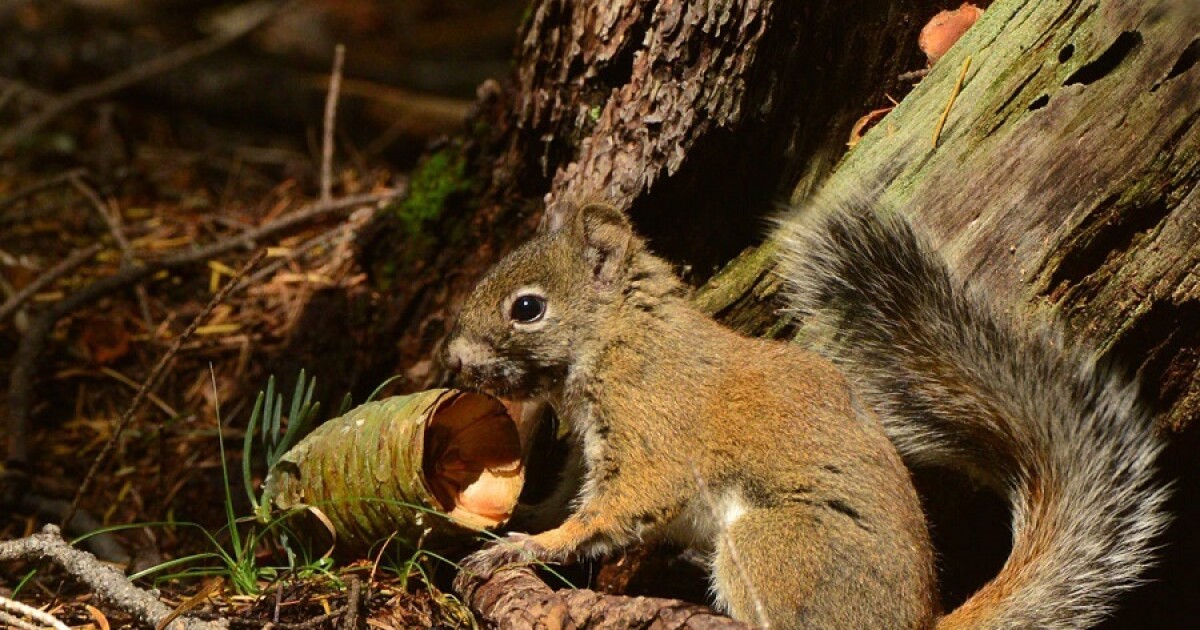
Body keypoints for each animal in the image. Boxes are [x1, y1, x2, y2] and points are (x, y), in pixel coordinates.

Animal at [443, 193, 1169, 629]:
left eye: (528, 307)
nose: (451, 360)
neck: (622, 336)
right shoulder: (591, 447)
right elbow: (565, 495)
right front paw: (517, 521)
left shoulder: (653, 427)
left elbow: (616, 508)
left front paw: (525, 549)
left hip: (773, 547)